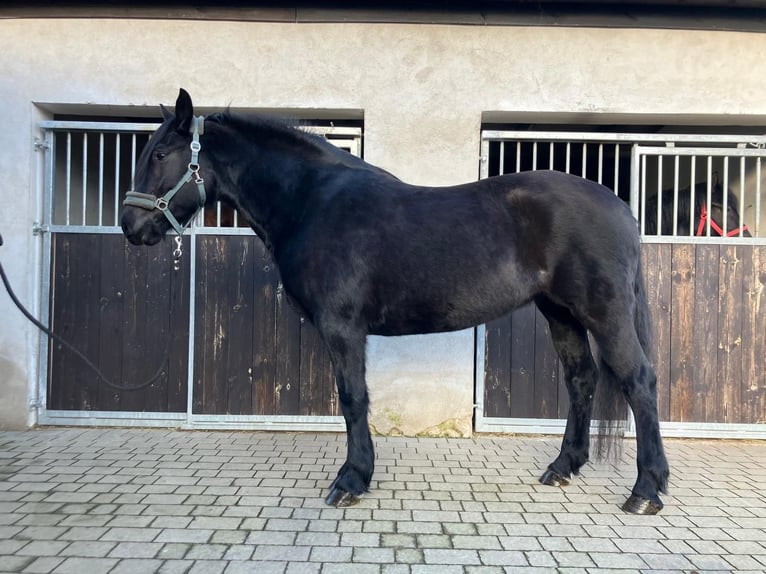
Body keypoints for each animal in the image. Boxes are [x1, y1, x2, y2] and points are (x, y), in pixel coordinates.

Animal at [120, 90, 672, 516]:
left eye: (161, 153)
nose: (130, 226)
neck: (312, 203)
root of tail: (620, 205)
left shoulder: (342, 327)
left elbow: (353, 398)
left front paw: (351, 481)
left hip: (603, 313)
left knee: (639, 381)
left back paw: (646, 491)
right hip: (560, 312)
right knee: (581, 379)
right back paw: (562, 467)